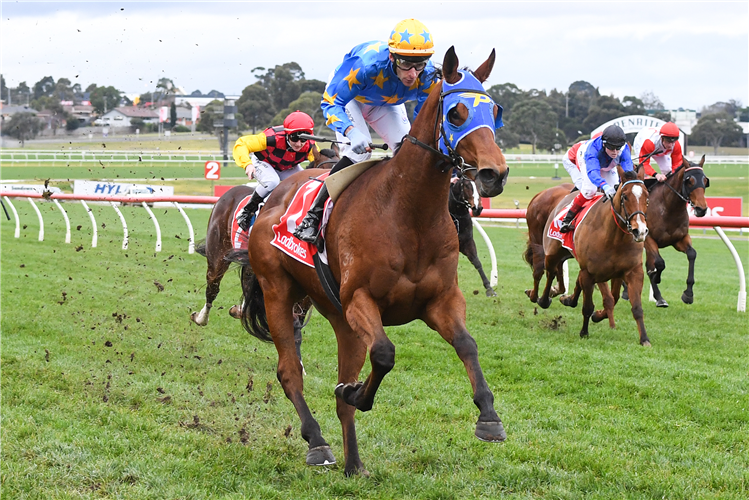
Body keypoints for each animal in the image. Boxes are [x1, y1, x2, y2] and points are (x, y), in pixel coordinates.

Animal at [240, 47, 508, 476]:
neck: (407, 212)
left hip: (337, 317)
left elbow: (467, 344)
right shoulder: (359, 300)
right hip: (278, 291)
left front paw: (489, 417)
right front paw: (356, 394)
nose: (494, 174)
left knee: (338, 387)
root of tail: (274, 196)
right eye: (456, 114)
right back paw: (318, 442)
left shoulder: (440, 300)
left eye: (495, 111)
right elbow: (383, 354)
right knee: (289, 372)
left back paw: (354, 464)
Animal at [536, 170, 652, 346]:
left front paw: (644, 339)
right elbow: (588, 306)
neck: (613, 237)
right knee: (550, 272)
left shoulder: (632, 272)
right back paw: (543, 299)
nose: (640, 231)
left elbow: (635, 307)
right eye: (625, 196)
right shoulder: (590, 273)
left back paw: (568, 299)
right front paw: (584, 332)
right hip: (552, 252)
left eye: (646, 196)